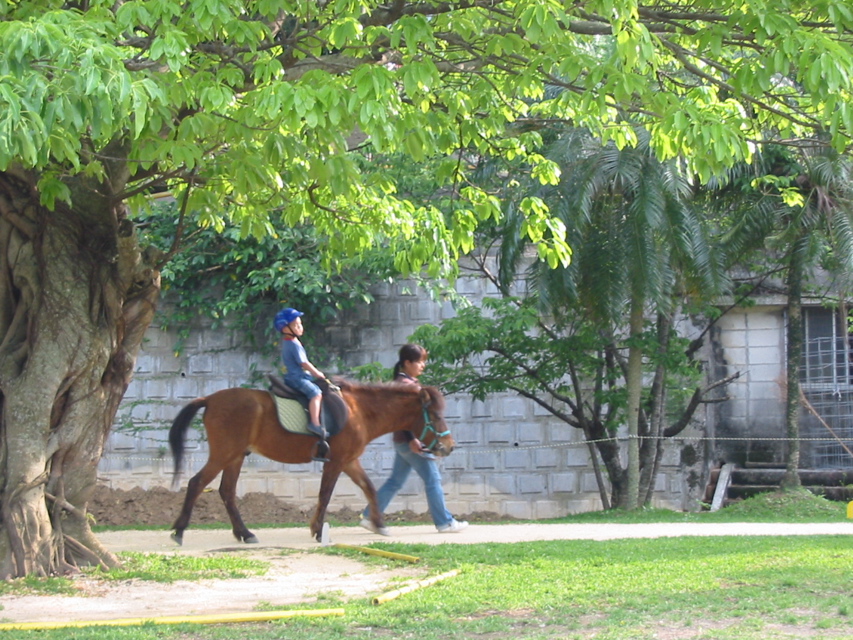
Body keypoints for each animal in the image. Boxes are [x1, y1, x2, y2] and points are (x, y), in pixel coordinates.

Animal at [169, 380, 456, 544]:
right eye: (436, 416)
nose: (449, 447)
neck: (360, 411)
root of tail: (210, 399)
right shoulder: (336, 461)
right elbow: (325, 494)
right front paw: (318, 530)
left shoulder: (349, 461)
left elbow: (370, 488)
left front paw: (379, 524)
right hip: (224, 453)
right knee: (196, 483)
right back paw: (179, 531)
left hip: (236, 456)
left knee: (226, 491)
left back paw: (245, 533)